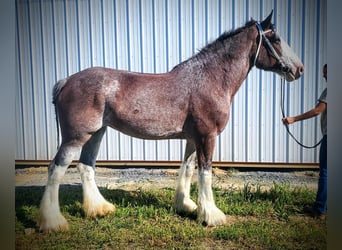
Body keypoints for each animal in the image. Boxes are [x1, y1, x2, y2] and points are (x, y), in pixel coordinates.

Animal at [38, 10, 304, 231]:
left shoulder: (192, 138)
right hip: (76, 137)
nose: (299, 69)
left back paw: (99, 209)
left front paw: (187, 206)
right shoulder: (207, 136)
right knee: (56, 168)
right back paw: (53, 222)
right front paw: (212, 215)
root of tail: (66, 81)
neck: (210, 79)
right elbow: (205, 173)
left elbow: (187, 169)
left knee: (86, 167)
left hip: (96, 133)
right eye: (276, 39)